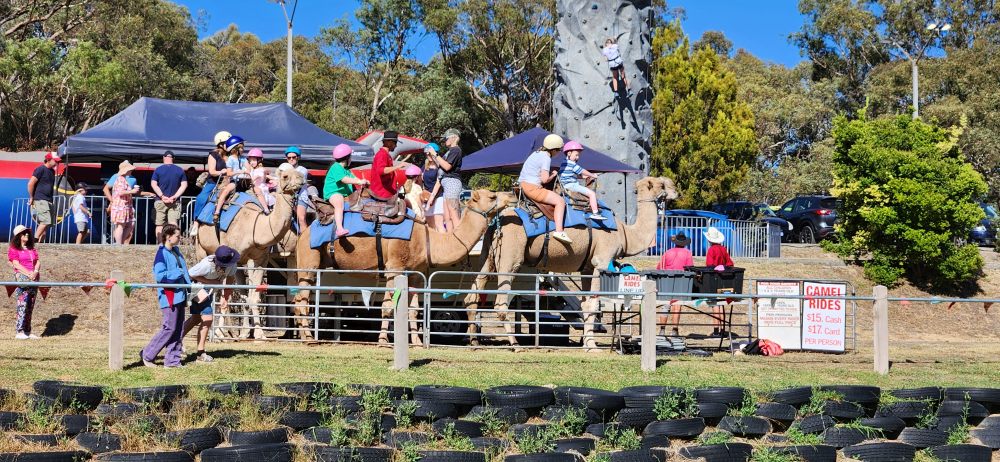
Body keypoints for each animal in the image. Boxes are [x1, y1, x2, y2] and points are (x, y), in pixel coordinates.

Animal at [196, 168, 304, 340]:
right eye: (286, 176)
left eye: (298, 173)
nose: (302, 179)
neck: (254, 228)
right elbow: (228, 294)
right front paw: (224, 333)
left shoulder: (259, 260)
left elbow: (252, 296)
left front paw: (255, 333)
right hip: (200, 248)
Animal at [292, 190, 514, 343]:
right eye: (493, 196)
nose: (512, 195)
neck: (427, 240)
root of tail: (303, 232)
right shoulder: (394, 266)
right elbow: (387, 306)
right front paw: (383, 341)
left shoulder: (414, 273)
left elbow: (413, 309)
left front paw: (416, 342)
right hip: (308, 260)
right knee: (302, 300)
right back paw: (309, 338)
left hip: (316, 264)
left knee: (299, 299)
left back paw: (305, 335)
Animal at [463, 176, 678, 348]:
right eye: (661, 184)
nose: (676, 190)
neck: (626, 234)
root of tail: (496, 222)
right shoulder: (601, 262)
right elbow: (593, 304)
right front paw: (591, 346)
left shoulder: (587, 267)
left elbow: (585, 304)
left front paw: (586, 341)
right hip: (510, 257)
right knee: (500, 302)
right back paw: (515, 344)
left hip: (488, 256)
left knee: (473, 294)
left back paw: (474, 342)